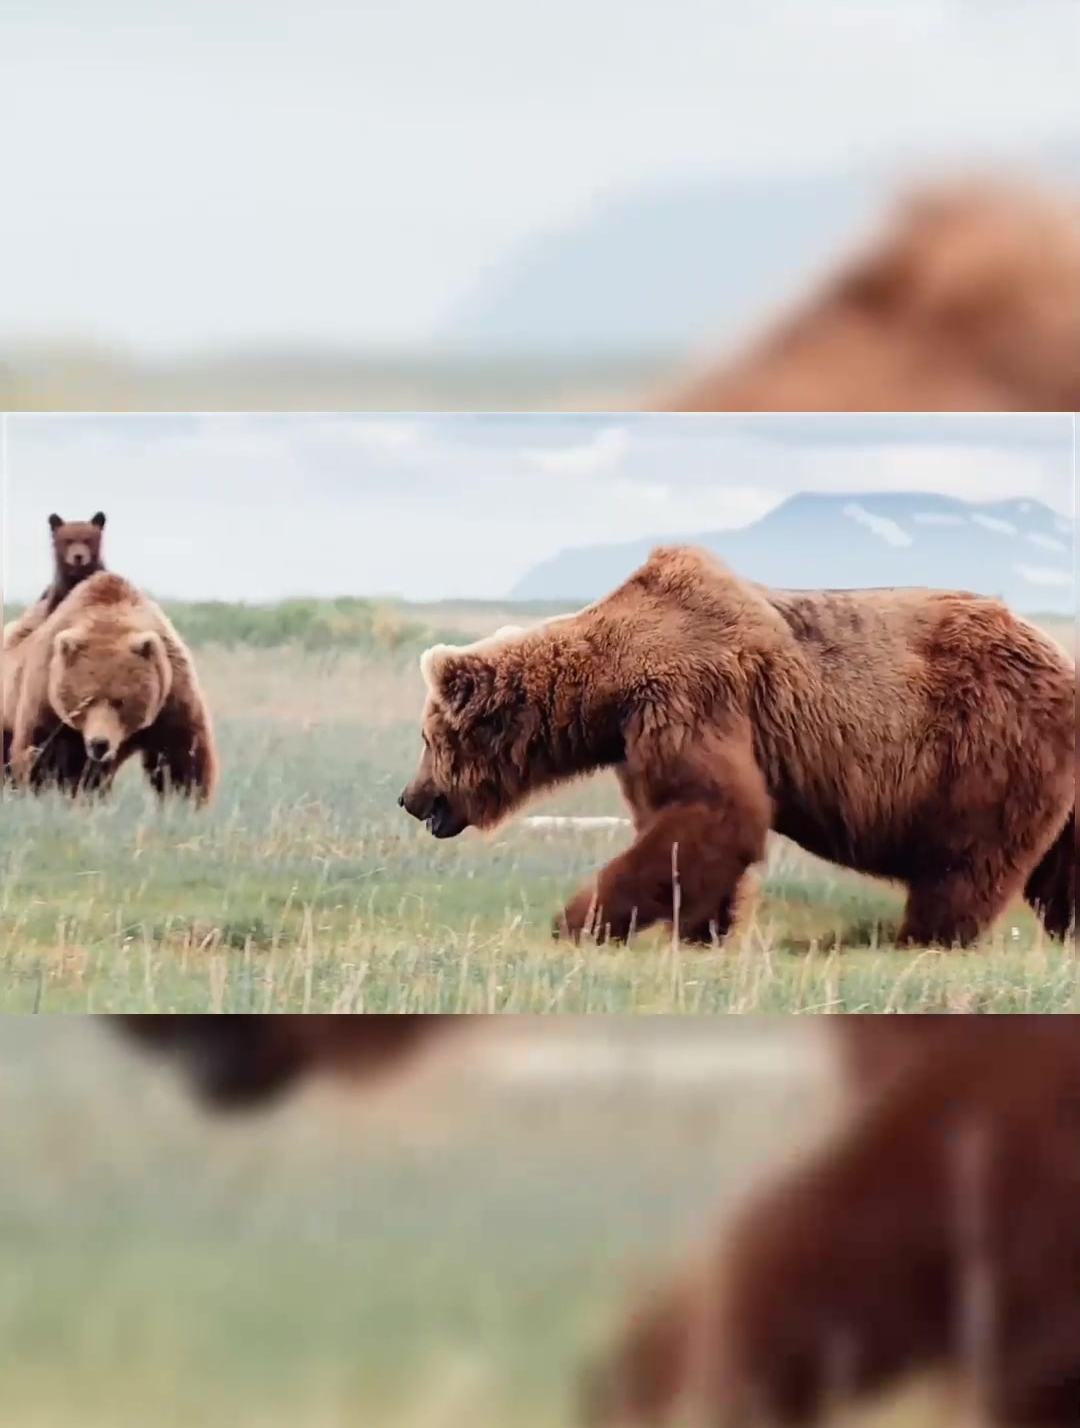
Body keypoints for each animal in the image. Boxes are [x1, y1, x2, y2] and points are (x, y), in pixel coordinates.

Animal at [3, 574, 218, 811]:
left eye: (120, 701)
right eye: (86, 700)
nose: (99, 743)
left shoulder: (170, 697)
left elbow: (181, 756)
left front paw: (184, 800)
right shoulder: (48, 700)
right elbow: (42, 755)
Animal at [400, 539, 1074, 953]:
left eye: (429, 738)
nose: (410, 797)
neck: (609, 689)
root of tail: (1062, 659)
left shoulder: (689, 695)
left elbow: (717, 809)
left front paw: (574, 921)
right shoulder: (639, 738)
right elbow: (686, 825)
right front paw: (702, 930)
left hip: (984, 747)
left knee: (962, 865)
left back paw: (918, 936)